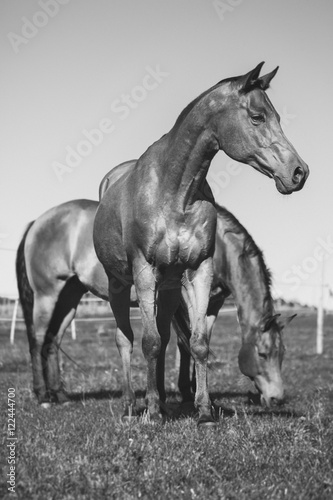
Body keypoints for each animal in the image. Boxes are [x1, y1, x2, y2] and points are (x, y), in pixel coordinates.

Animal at [16, 197, 290, 408]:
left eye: (282, 355)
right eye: (263, 354)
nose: (277, 399)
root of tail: (36, 223)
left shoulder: (211, 305)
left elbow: (199, 342)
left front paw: (197, 394)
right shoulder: (181, 302)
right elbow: (181, 344)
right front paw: (184, 393)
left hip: (69, 297)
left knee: (53, 341)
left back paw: (60, 394)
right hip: (47, 296)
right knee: (37, 340)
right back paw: (42, 395)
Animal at [92, 60, 308, 424]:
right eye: (257, 117)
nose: (298, 172)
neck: (175, 191)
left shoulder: (199, 273)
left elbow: (198, 342)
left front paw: (203, 408)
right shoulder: (145, 271)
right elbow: (151, 342)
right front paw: (154, 410)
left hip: (166, 289)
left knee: (165, 336)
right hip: (119, 284)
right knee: (126, 339)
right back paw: (132, 404)